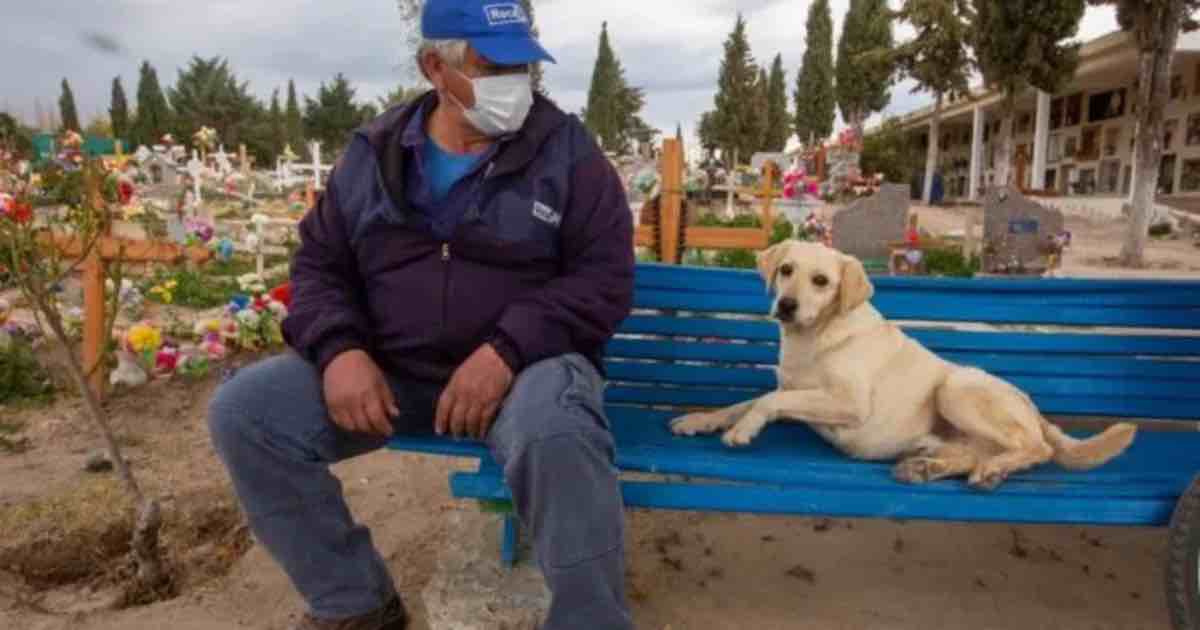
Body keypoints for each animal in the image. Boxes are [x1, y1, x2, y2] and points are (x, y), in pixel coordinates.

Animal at [672, 241, 1137, 492]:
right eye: (786, 270)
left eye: (821, 281)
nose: (785, 305)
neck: (814, 338)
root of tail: (1034, 409)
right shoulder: (793, 388)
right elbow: (749, 401)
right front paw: (701, 419)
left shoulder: (849, 404)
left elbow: (766, 401)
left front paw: (743, 430)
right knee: (977, 454)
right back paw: (934, 467)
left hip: (957, 386)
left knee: (1037, 449)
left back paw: (990, 469)